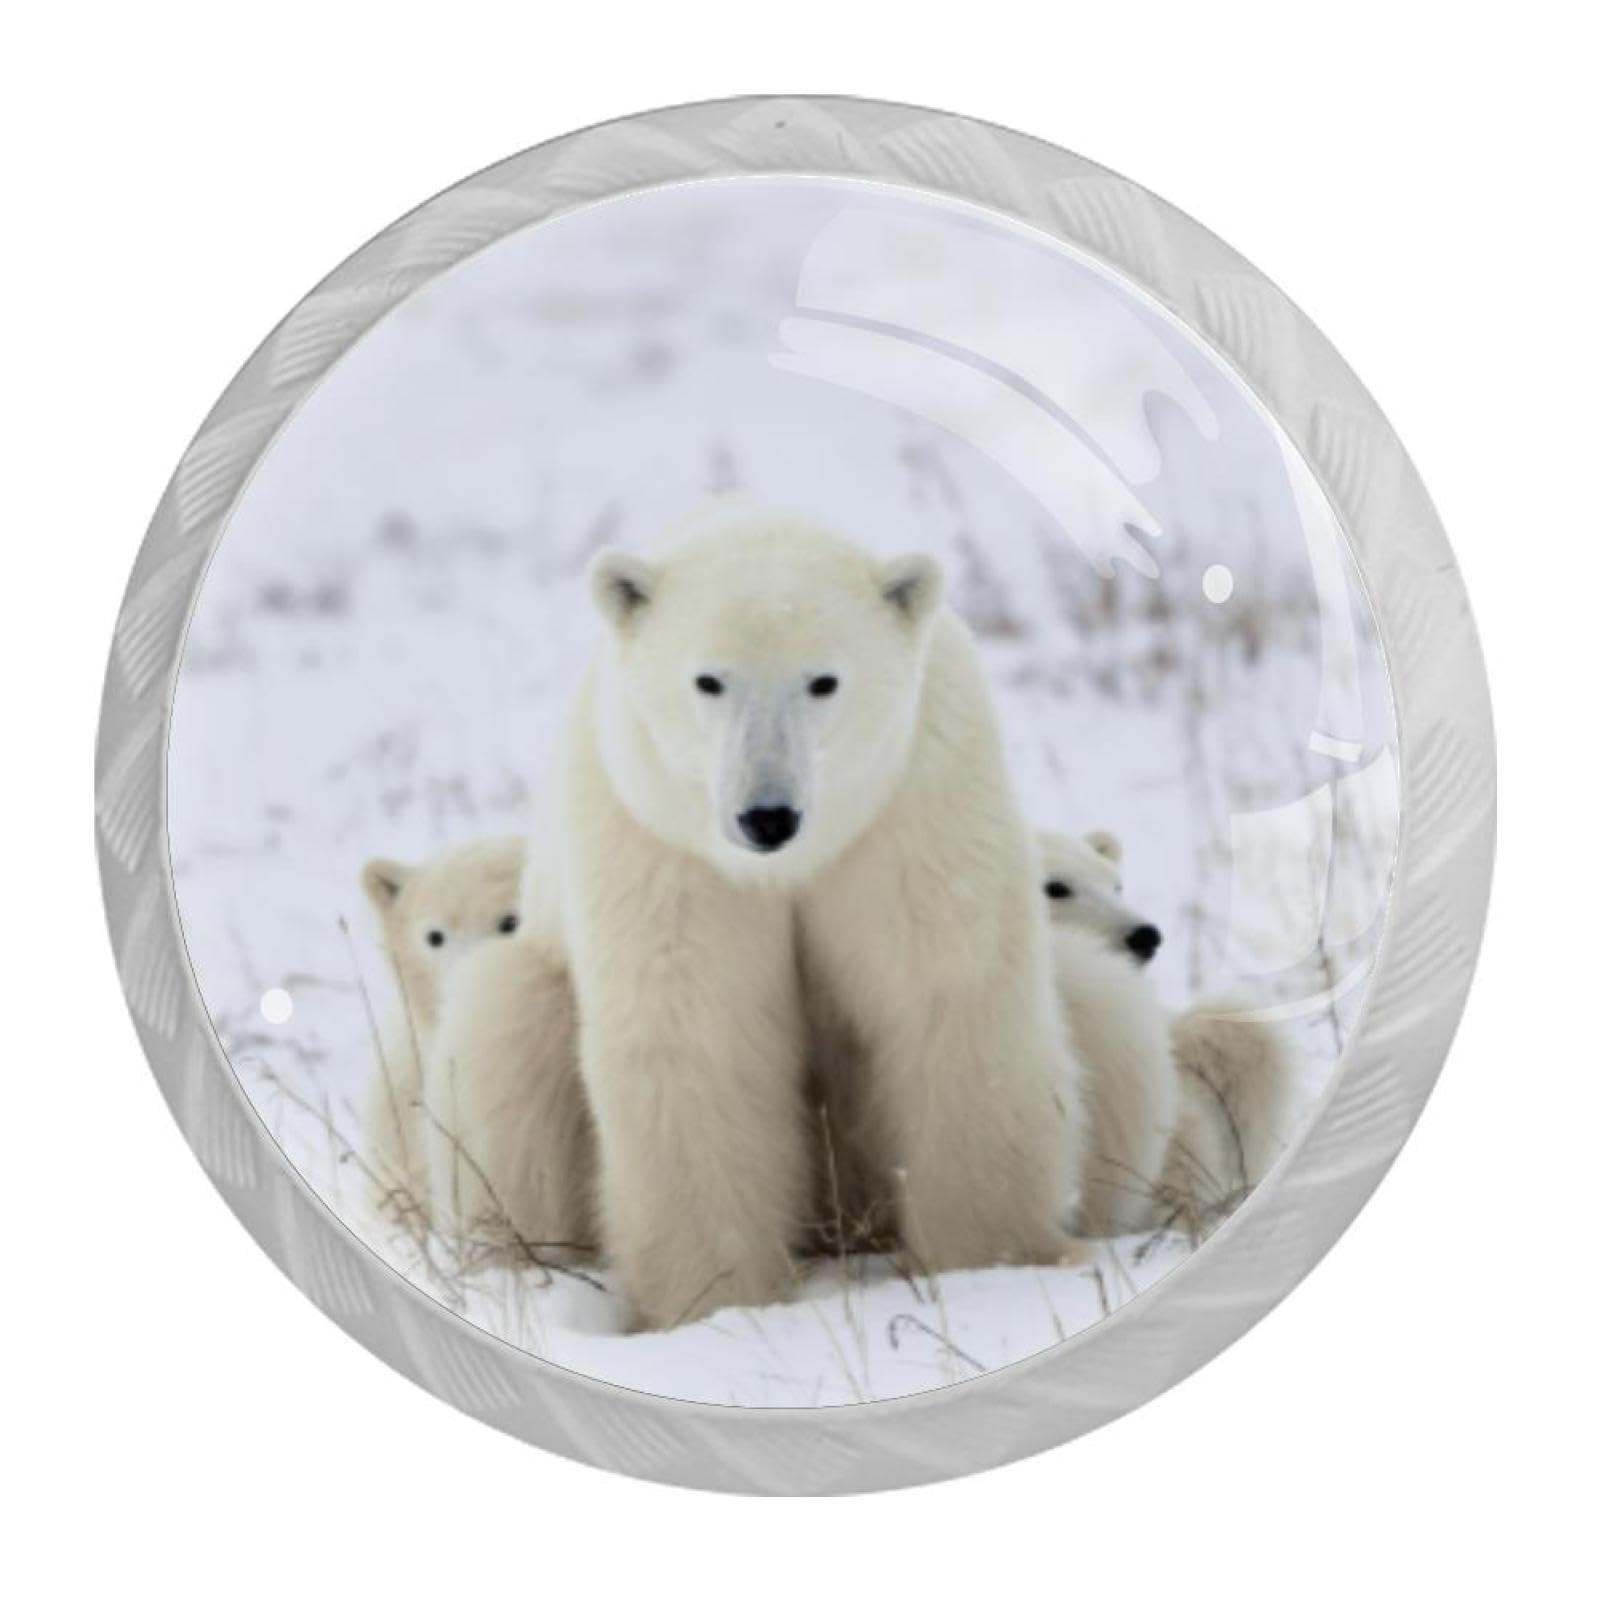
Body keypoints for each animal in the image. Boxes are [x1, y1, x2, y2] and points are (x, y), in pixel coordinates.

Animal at [564, 513, 1082, 1329]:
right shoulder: (665, 845)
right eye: (709, 679)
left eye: (823, 681)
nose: (767, 815)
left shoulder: (911, 808)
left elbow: (946, 1007)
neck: (790, 863)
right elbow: (698, 1035)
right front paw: (716, 1300)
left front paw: (986, 1262)